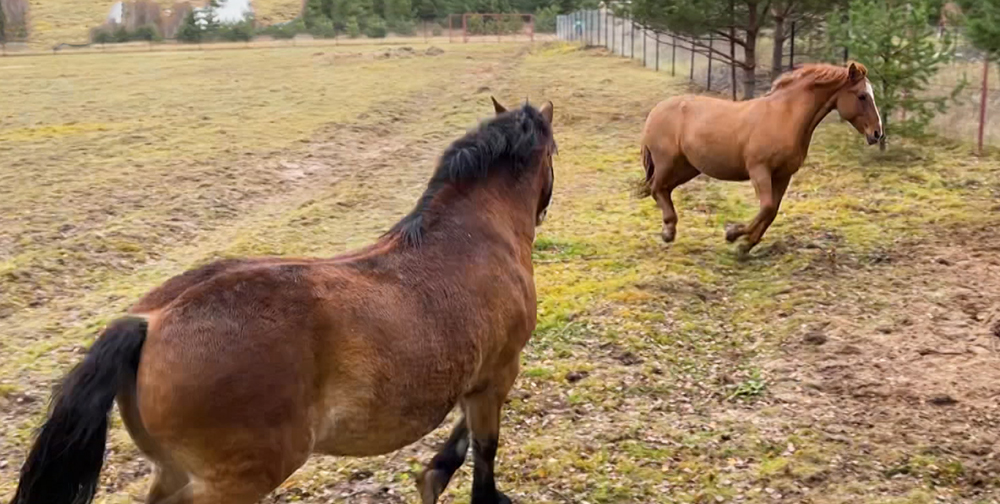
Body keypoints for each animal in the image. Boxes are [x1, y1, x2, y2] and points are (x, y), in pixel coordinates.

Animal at [9, 97, 556, 504]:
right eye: (554, 152)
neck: (472, 232)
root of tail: (150, 322)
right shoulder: (499, 371)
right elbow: (484, 447)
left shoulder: (479, 378)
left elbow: (464, 437)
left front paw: (433, 477)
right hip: (234, 481)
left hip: (174, 472)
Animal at [640, 62, 884, 252]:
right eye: (862, 96)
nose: (877, 133)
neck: (785, 116)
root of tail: (656, 111)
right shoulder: (759, 169)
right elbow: (766, 207)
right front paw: (733, 235)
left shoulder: (784, 175)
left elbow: (772, 210)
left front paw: (746, 245)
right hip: (667, 162)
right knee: (656, 187)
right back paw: (668, 231)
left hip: (688, 167)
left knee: (663, 189)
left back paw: (670, 230)